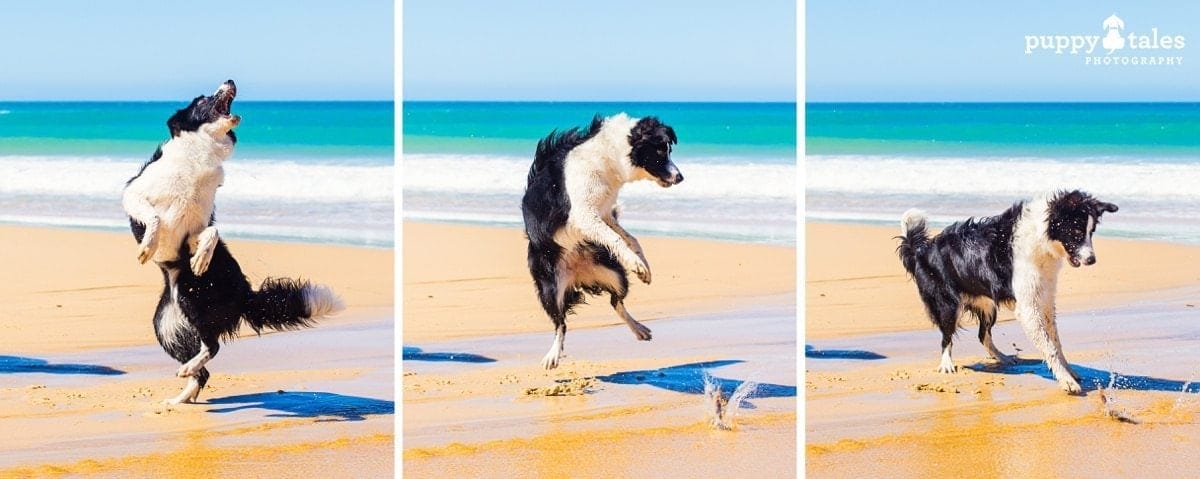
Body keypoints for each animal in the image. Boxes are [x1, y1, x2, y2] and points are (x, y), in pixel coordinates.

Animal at [121, 80, 343, 403]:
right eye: (202, 99)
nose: (230, 81)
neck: (198, 157)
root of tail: (245, 295)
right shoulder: (134, 194)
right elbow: (154, 218)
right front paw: (148, 246)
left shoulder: (195, 228)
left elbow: (211, 234)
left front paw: (202, 258)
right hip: (168, 325)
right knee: (203, 363)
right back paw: (181, 396)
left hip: (191, 298)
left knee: (211, 348)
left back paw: (185, 380)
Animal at [518, 114, 681, 369]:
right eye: (659, 151)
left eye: (668, 150)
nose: (681, 177)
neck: (607, 156)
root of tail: (577, 274)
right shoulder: (585, 215)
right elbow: (616, 238)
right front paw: (637, 263)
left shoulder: (604, 214)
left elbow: (631, 239)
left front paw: (643, 266)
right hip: (550, 286)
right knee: (560, 323)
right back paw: (553, 355)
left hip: (614, 274)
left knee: (616, 302)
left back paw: (639, 329)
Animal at [897, 189, 1118, 396]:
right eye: (1076, 231)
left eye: (1092, 231)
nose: (1092, 260)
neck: (1040, 237)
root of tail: (921, 250)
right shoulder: (1028, 308)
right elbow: (1050, 347)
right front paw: (1067, 381)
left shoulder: (1045, 299)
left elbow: (1056, 342)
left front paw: (1069, 372)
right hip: (948, 305)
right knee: (947, 336)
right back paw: (946, 364)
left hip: (988, 306)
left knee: (983, 335)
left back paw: (1002, 357)